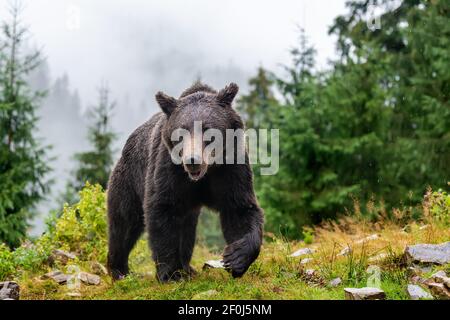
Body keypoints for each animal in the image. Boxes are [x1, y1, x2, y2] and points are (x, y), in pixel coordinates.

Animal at [106, 82, 264, 282]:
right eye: (181, 132)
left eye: (208, 130)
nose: (192, 160)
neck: (204, 175)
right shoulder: (169, 170)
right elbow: (163, 209)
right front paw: (171, 273)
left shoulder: (231, 169)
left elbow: (239, 209)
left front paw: (236, 258)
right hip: (130, 179)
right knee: (124, 223)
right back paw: (119, 269)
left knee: (187, 229)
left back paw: (188, 268)